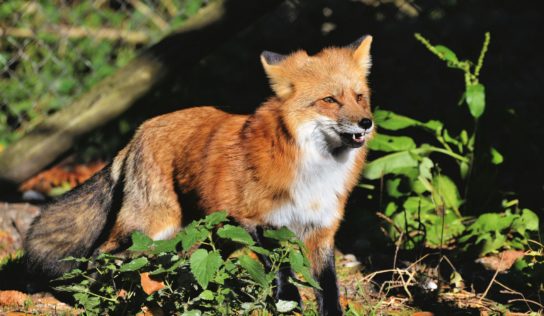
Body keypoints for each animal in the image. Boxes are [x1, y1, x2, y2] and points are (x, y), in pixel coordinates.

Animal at [24, 35, 374, 314]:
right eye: (329, 100)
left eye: (359, 97)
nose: (367, 122)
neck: (314, 171)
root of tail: (140, 130)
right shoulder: (257, 221)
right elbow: (282, 274)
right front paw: (289, 306)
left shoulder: (321, 231)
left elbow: (328, 288)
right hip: (151, 226)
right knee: (101, 255)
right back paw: (98, 298)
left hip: (208, 233)